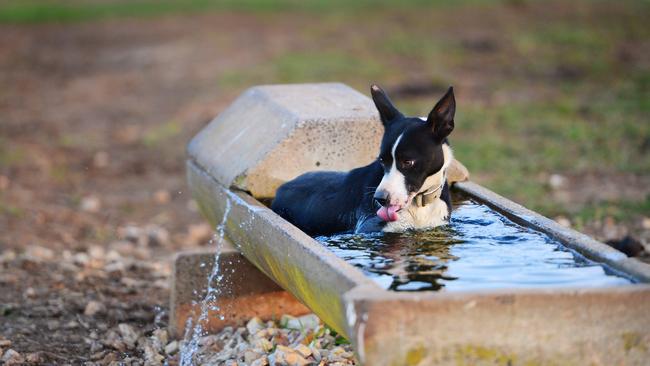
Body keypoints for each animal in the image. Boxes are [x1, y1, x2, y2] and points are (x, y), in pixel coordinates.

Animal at [270, 84, 454, 236]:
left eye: (408, 162)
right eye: (382, 160)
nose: (380, 199)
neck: (420, 203)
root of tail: (280, 190)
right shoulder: (369, 227)